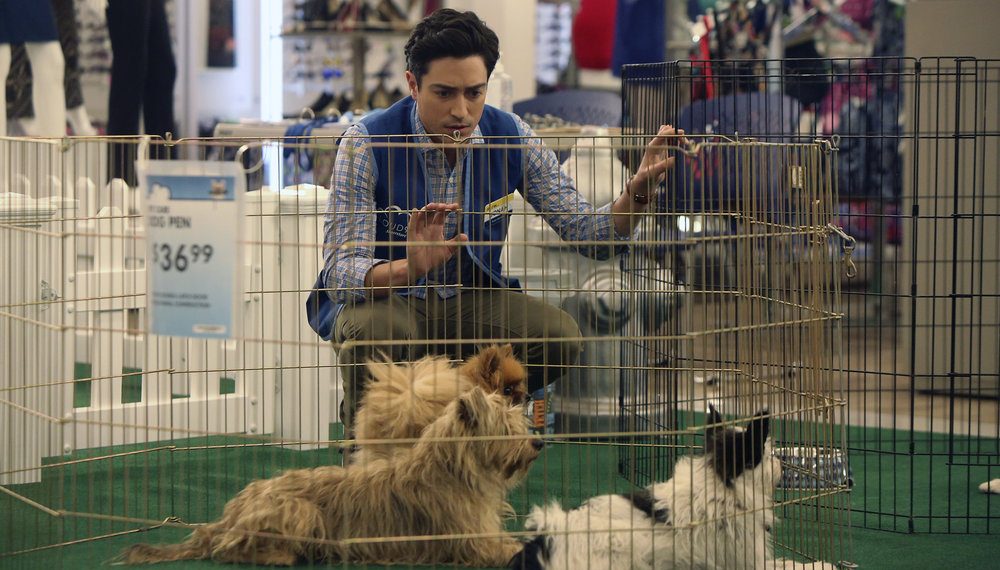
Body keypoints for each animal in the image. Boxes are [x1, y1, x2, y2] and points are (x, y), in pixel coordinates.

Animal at [516, 404, 836, 568]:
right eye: (766, 455)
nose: (782, 464)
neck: (722, 482)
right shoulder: (747, 562)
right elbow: (788, 565)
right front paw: (821, 565)